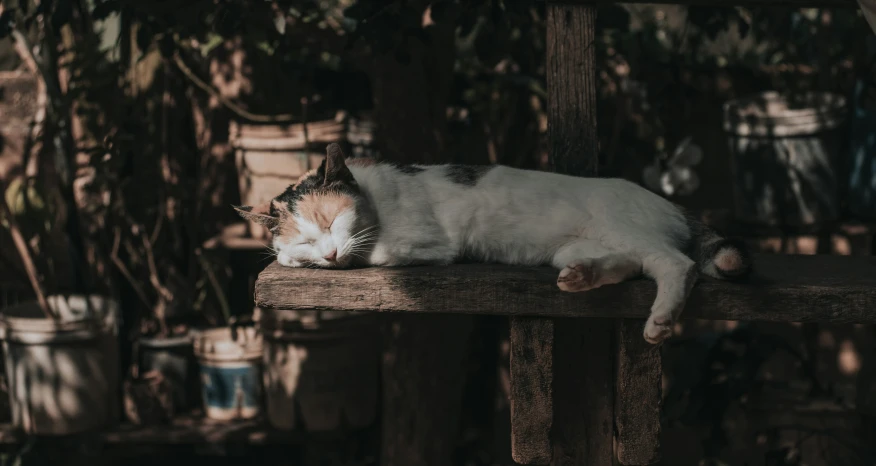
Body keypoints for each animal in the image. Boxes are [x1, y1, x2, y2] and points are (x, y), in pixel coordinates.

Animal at [238, 144, 752, 344]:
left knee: (677, 263)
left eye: (330, 221)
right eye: (307, 238)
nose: (326, 253)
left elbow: (372, 253)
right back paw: (582, 277)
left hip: (627, 227)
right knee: (633, 263)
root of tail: (669, 203)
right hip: (579, 247)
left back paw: (660, 321)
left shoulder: (427, 242)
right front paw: (295, 260)